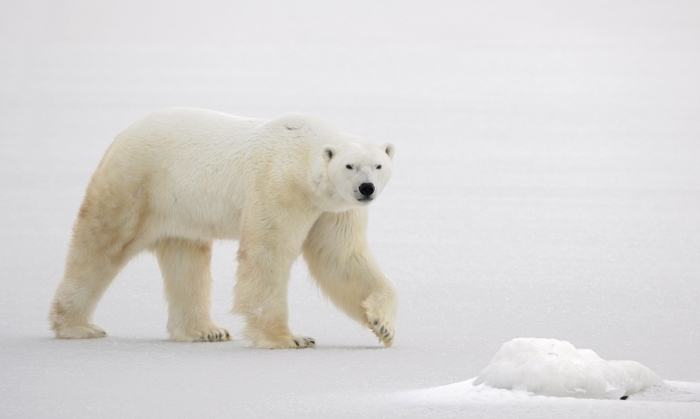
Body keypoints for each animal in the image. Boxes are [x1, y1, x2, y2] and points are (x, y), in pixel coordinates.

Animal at [47, 107, 400, 348]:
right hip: (135, 182)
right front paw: (289, 338)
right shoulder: (280, 186)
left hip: (181, 209)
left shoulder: (332, 210)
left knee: (186, 261)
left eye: (379, 165)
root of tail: (123, 134)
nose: (366, 188)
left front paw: (382, 324)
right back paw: (77, 326)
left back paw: (205, 330)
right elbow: (268, 252)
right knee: (101, 244)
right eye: (349, 165)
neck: (302, 157)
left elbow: (341, 259)